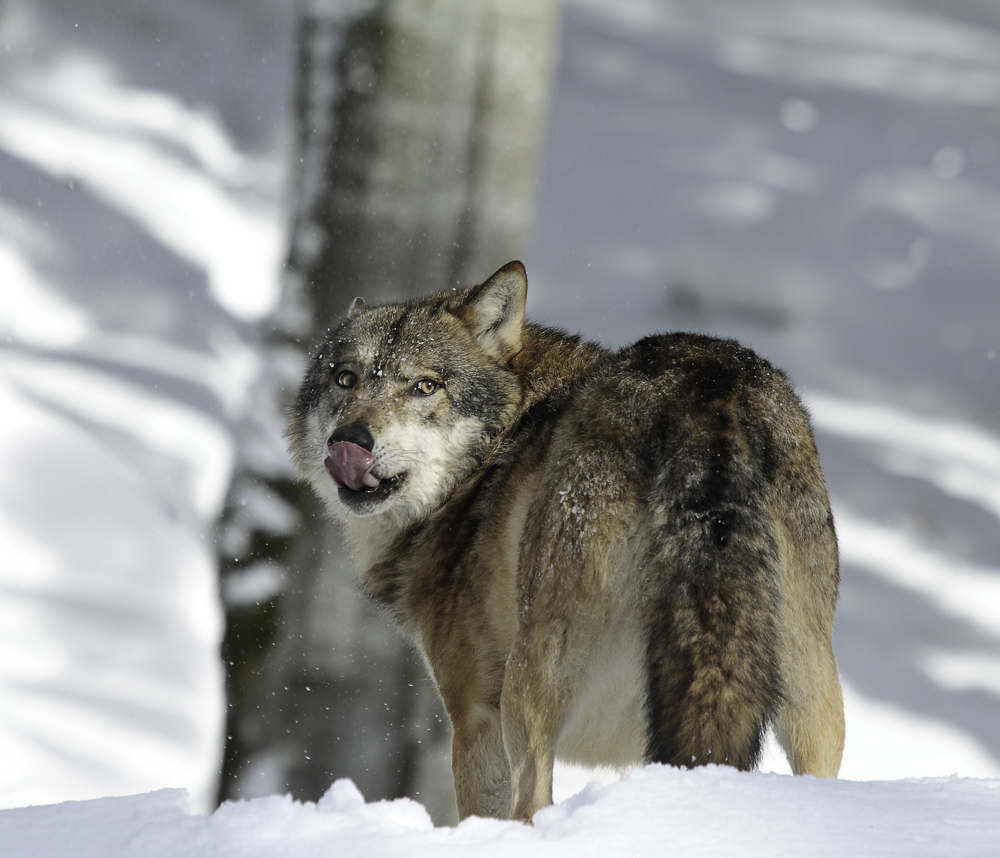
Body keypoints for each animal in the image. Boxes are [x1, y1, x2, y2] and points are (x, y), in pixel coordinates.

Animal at [290, 260, 844, 816]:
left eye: (425, 386)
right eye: (345, 379)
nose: (350, 441)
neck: (491, 459)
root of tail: (710, 393)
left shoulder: (474, 717)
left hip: (528, 684)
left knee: (532, 805)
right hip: (813, 696)